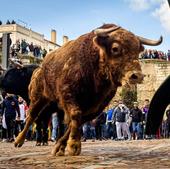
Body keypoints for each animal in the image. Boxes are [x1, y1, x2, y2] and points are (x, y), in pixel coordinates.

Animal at [14, 23, 162, 156]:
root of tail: (40, 68)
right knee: (31, 116)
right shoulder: (68, 95)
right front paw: (73, 146)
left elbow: (77, 122)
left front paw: (61, 147)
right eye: (115, 48)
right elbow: (75, 115)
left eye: (138, 50)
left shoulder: (95, 107)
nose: (136, 76)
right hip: (38, 98)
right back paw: (18, 141)